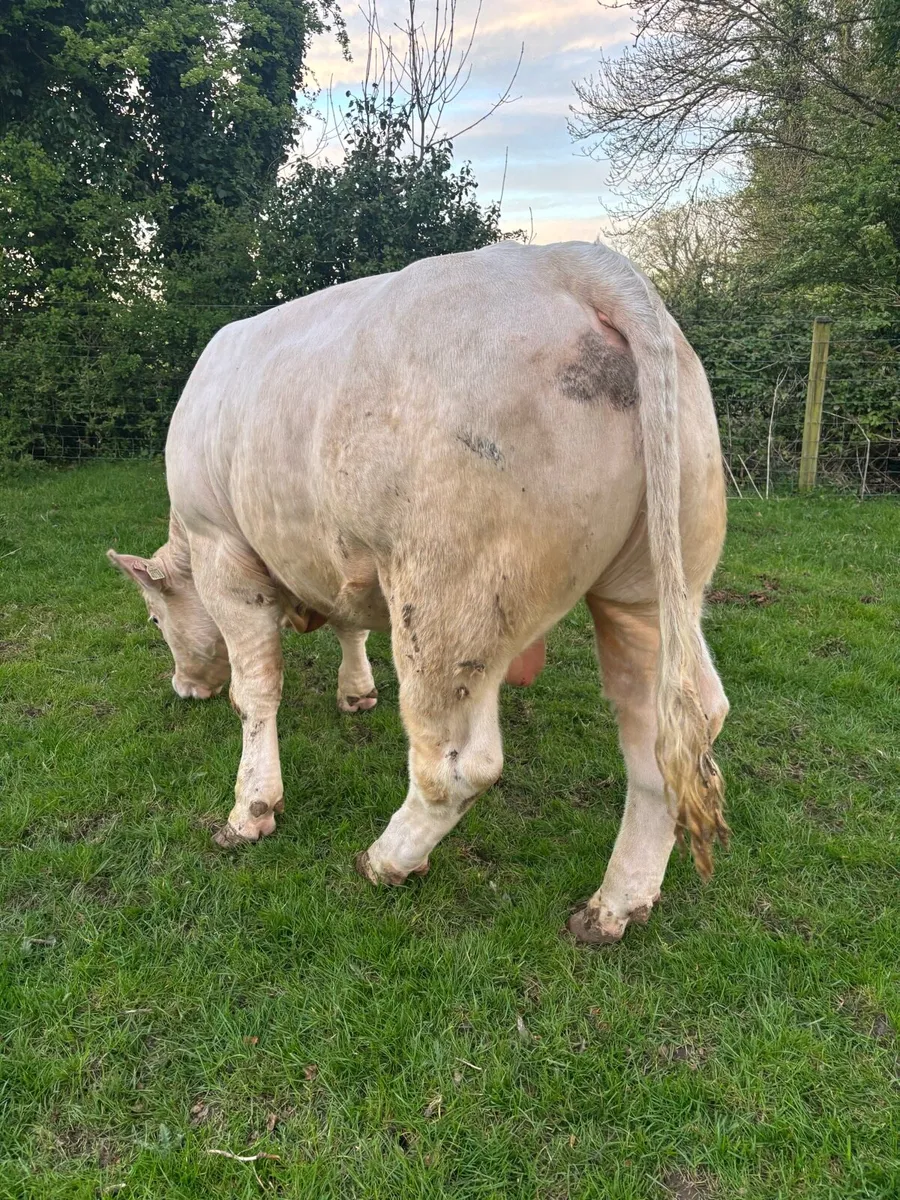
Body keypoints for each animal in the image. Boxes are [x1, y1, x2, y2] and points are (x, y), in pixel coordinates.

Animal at [108, 240, 729, 944]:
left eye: (155, 620)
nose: (184, 688)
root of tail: (574, 261)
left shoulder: (225, 552)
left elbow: (256, 692)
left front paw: (251, 808)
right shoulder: (336, 554)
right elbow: (350, 623)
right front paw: (356, 692)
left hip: (449, 598)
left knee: (458, 764)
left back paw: (389, 858)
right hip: (650, 591)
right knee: (668, 736)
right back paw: (615, 905)